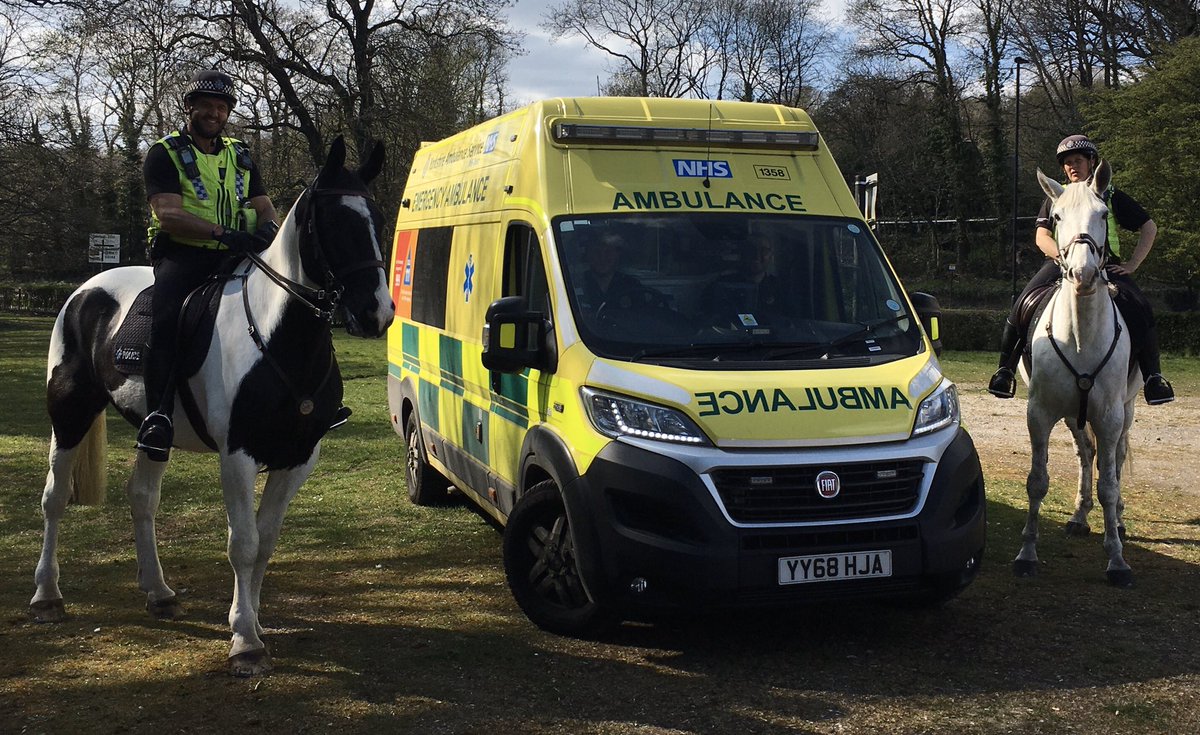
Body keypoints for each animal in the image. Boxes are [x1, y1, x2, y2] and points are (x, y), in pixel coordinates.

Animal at [29, 135, 393, 672]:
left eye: (378, 217)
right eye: (333, 220)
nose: (377, 313)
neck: (278, 335)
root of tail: (85, 291)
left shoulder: (299, 457)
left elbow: (264, 542)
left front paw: (253, 623)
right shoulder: (237, 455)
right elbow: (242, 544)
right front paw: (244, 641)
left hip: (154, 433)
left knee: (142, 498)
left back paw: (158, 592)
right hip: (69, 414)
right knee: (54, 498)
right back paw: (47, 596)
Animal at [1017, 159, 1137, 586]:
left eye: (1103, 214)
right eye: (1055, 217)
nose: (1082, 274)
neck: (1081, 336)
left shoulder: (1109, 416)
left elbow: (1109, 485)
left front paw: (1117, 559)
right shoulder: (1040, 414)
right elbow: (1037, 482)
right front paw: (1027, 553)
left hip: (1127, 410)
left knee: (1114, 458)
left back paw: (1117, 523)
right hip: (1073, 414)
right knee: (1086, 453)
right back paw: (1080, 516)